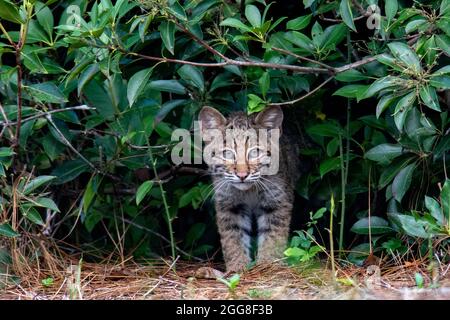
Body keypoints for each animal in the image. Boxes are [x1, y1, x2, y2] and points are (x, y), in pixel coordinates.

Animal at [198, 106, 298, 272]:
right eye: (227, 153)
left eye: (255, 152)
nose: (242, 175)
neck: (249, 190)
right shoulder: (229, 204)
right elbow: (232, 238)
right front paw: (237, 268)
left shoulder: (276, 201)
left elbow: (273, 235)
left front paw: (268, 265)